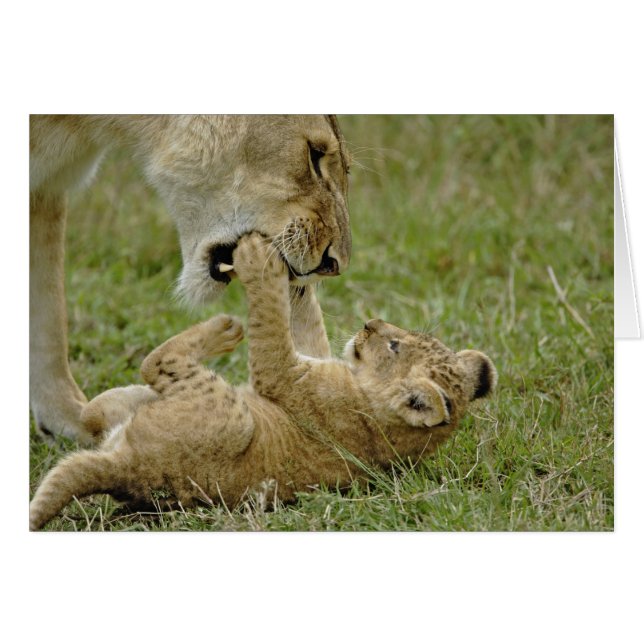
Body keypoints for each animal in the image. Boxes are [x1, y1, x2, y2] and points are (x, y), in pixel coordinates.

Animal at [29, 233, 497, 530]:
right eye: (404, 337)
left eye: (394, 345)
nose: (369, 324)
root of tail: (130, 470)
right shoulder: (313, 358)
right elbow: (306, 324)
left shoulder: (284, 375)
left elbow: (271, 324)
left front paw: (258, 258)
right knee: (95, 414)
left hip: (233, 419)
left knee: (155, 363)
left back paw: (224, 329)